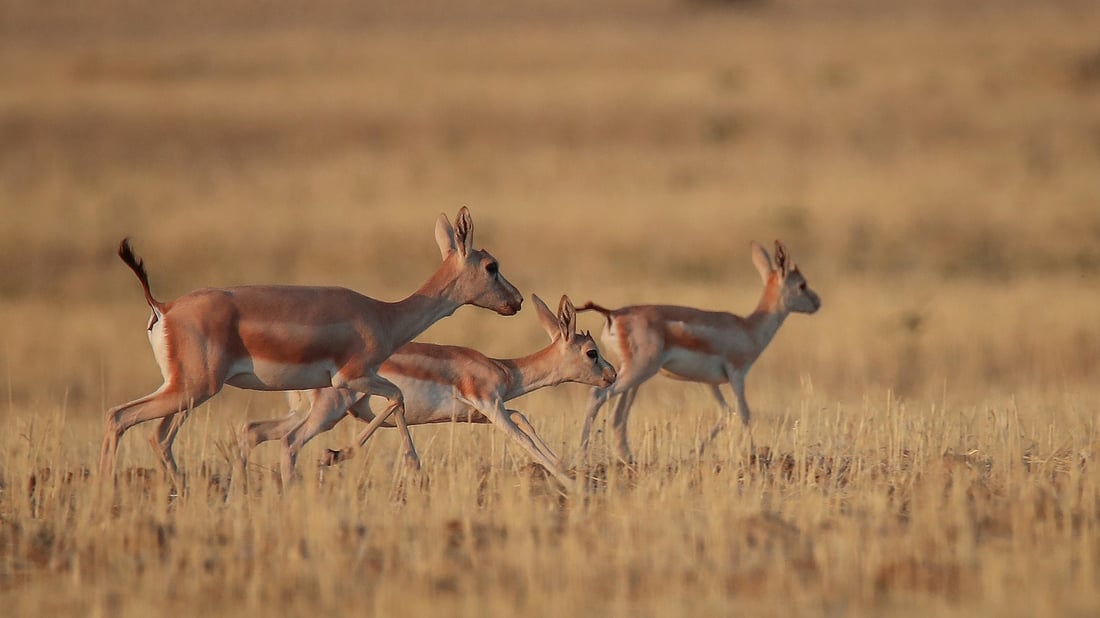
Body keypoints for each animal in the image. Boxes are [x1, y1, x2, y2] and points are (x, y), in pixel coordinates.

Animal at [101, 207, 524, 481]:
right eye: (492, 266)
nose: (517, 301)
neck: (382, 315)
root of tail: (164, 307)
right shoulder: (350, 379)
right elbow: (397, 399)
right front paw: (346, 456)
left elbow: (396, 402)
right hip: (192, 390)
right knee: (120, 417)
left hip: (184, 392)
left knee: (156, 436)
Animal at [239, 294, 617, 487]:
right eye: (591, 352)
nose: (611, 375)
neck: (502, 368)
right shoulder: (489, 405)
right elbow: (519, 434)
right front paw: (574, 484)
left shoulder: (482, 413)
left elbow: (523, 418)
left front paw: (569, 470)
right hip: (327, 412)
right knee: (290, 443)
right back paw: (328, 458)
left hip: (305, 412)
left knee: (254, 430)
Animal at [576, 240, 820, 464]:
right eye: (802, 285)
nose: (818, 302)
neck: (748, 328)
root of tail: (613, 313)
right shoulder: (737, 375)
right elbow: (744, 413)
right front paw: (755, 455)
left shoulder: (710, 383)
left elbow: (726, 413)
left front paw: (695, 454)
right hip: (636, 373)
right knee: (596, 397)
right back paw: (583, 455)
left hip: (631, 377)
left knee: (618, 416)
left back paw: (627, 458)